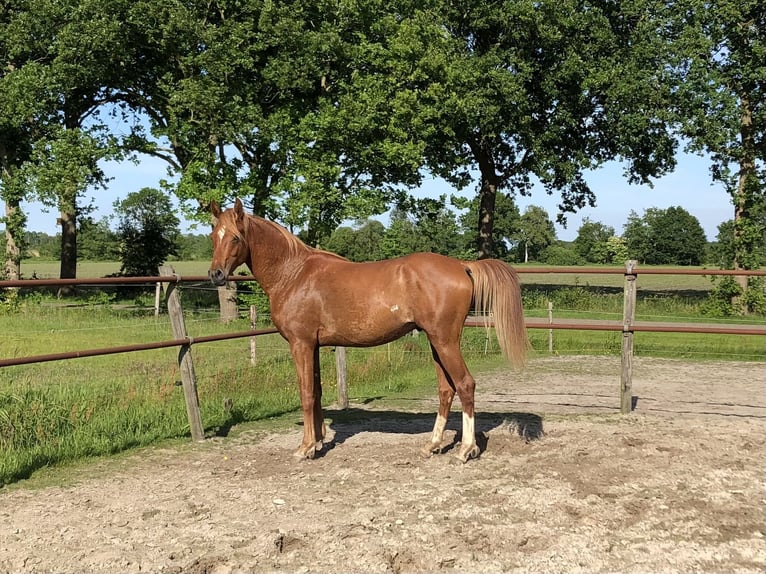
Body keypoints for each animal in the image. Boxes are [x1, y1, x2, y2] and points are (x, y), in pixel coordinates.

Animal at [210, 200, 536, 466]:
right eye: (214, 236)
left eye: (235, 237)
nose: (215, 274)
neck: (294, 274)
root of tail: (461, 265)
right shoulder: (313, 346)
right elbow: (316, 392)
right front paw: (318, 441)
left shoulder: (300, 344)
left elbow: (305, 393)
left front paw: (305, 448)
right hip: (436, 343)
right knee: (446, 389)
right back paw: (432, 444)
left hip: (445, 342)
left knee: (465, 385)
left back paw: (465, 449)